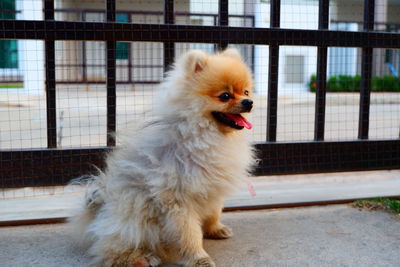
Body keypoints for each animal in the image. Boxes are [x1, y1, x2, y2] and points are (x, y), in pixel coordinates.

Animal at [72, 48, 255, 267]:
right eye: (225, 96)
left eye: (246, 92)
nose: (249, 102)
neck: (201, 135)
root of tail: (98, 214)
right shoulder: (178, 198)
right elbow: (189, 232)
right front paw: (198, 257)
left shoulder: (211, 188)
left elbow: (214, 211)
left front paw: (215, 229)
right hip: (133, 217)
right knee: (111, 250)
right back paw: (140, 258)